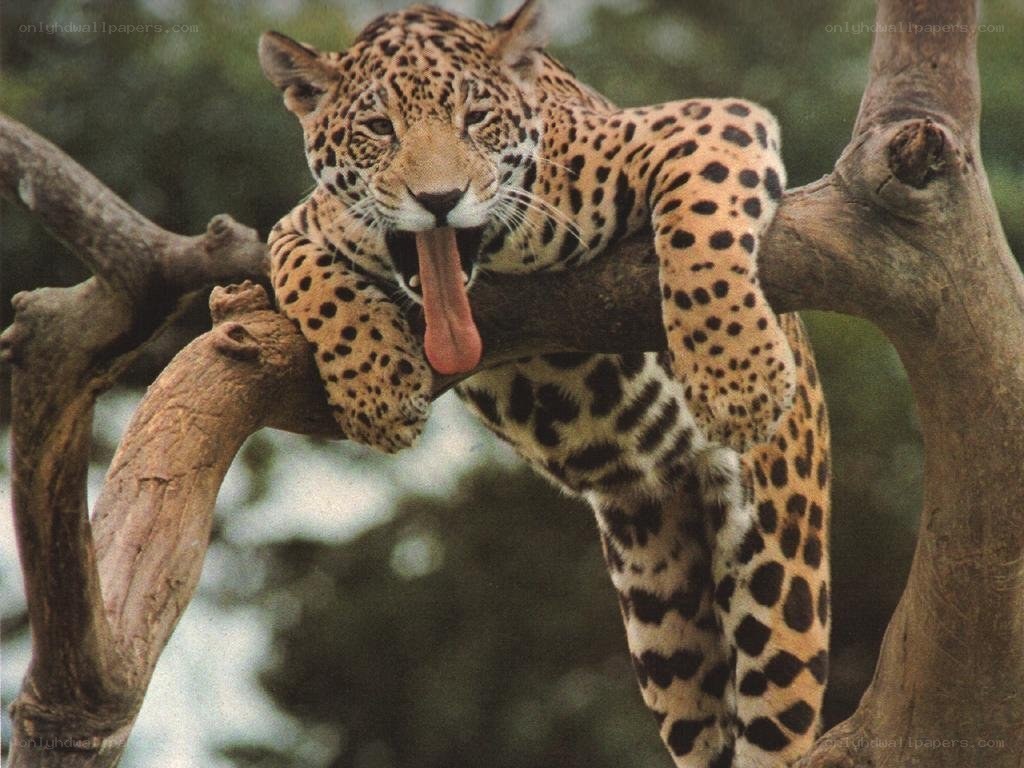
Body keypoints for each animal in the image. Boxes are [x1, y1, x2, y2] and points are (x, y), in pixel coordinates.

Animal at [259, 2, 831, 766]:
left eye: (476, 119)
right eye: (379, 128)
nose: (438, 200)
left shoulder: (708, 121)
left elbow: (701, 230)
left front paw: (741, 376)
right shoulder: (299, 223)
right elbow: (306, 276)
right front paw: (375, 385)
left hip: (776, 565)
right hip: (659, 605)